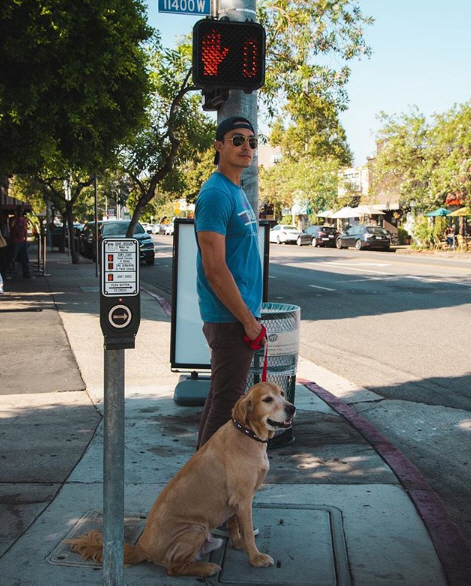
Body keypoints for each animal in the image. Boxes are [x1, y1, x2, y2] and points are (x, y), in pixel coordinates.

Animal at [67, 380, 296, 576]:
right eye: (267, 399)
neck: (248, 433)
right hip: (195, 529)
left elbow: (234, 524)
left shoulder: (237, 501)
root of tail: (143, 549)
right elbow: (247, 530)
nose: (292, 408)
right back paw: (207, 568)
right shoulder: (243, 499)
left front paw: (238, 544)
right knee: (174, 569)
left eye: (283, 393)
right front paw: (256, 557)